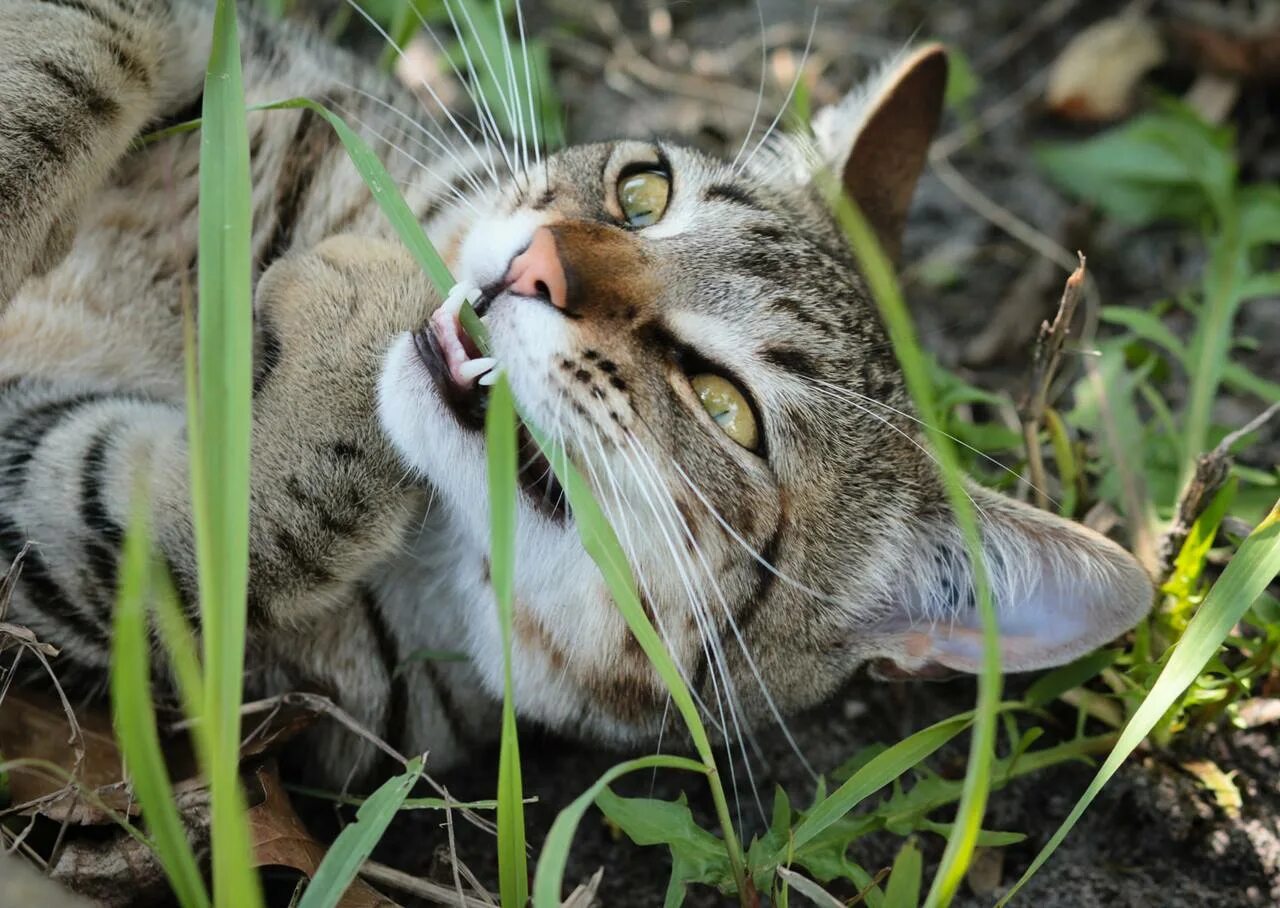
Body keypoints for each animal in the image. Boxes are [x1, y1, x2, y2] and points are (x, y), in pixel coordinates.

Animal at [0, 0, 1157, 778]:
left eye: (724, 406)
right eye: (642, 192)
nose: (541, 263)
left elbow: (184, 526)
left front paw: (351, 312)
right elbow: (93, 37)